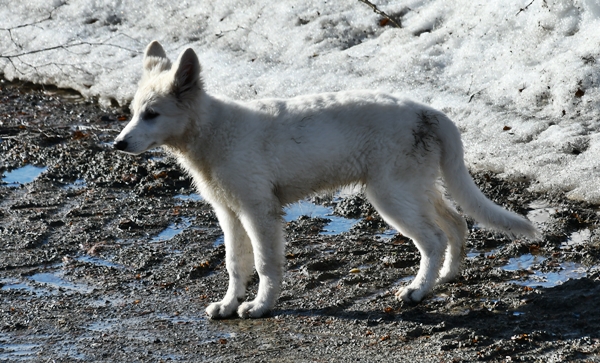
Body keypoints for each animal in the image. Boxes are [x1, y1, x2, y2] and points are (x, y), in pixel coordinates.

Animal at [115, 42, 536, 318]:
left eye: (152, 114)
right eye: (133, 112)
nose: (118, 143)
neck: (214, 132)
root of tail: (432, 113)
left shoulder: (259, 211)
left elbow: (266, 264)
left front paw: (261, 306)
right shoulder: (229, 213)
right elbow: (236, 264)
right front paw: (229, 303)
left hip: (391, 195)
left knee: (433, 239)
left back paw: (416, 291)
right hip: (416, 188)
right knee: (456, 223)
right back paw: (446, 277)